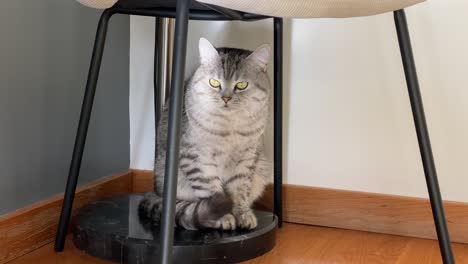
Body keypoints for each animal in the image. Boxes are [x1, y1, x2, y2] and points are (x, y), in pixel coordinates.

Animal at [138, 38, 270, 230]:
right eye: (214, 83)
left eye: (241, 85)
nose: (226, 98)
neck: (229, 127)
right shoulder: (196, 156)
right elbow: (210, 189)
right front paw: (223, 217)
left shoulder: (247, 156)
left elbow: (240, 189)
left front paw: (243, 214)